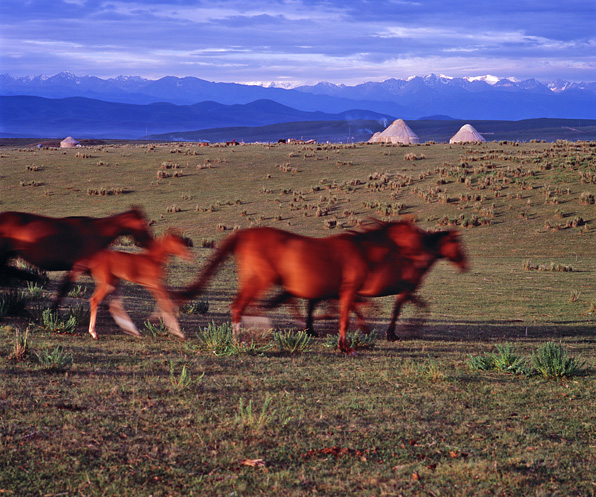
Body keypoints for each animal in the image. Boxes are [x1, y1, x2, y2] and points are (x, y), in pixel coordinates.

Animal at [0, 206, 154, 306]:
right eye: (144, 224)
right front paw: (52, 311)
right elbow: (64, 289)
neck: (98, 232)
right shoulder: (79, 266)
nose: (150, 242)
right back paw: (33, 277)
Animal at [177, 221, 428, 352]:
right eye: (417, 237)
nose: (424, 261)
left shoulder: (340, 294)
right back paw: (240, 342)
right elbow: (345, 318)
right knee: (239, 306)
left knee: (244, 305)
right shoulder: (347, 292)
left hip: (251, 281)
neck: (363, 249)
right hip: (260, 280)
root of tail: (245, 234)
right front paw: (344, 347)